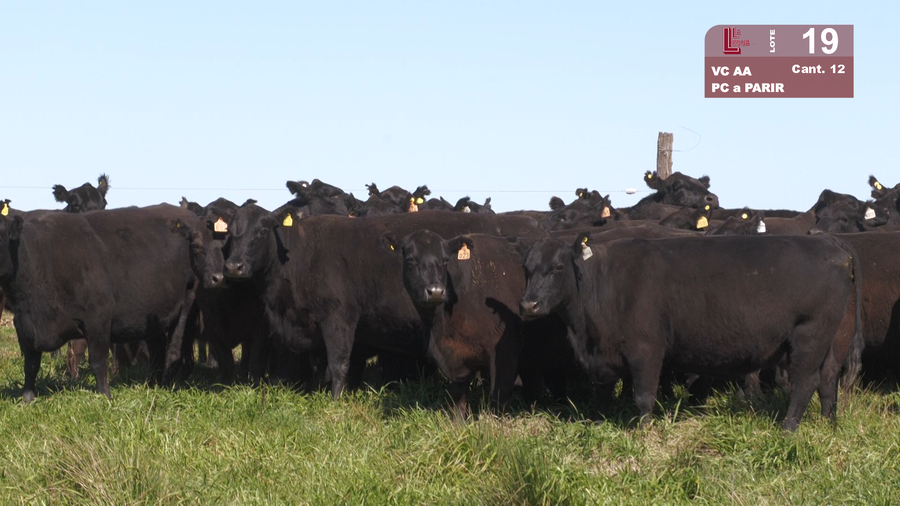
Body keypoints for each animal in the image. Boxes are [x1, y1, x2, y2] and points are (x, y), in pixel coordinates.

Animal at [0, 204, 216, 401]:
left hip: (186, 306)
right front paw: (27, 398)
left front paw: (105, 396)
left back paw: (165, 385)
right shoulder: (23, 324)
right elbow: (31, 365)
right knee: (157, 349)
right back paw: (153, 383)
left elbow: (98, 362)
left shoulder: (98, 319)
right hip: (154, 314)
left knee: (173, 350)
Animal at [221, 210, 546, 398]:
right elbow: (319, 364)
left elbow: (338, 363)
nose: (234, 266)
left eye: (261, 232)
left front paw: (335, 402)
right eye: (229, 234)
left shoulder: (338, 317)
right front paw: (315, 392)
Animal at [519, 233, 861, 430]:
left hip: (809, 335)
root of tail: (835, 246)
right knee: (828, 377)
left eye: (558, 267)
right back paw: (828, 423)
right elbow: (601, 393)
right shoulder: (603, 357)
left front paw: (644, 432)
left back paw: (788, 429)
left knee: (805, 382)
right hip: (831, 338)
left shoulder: (646, 350)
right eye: (527, 268)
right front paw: (597, 424)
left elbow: (644, 396)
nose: (528, 304)